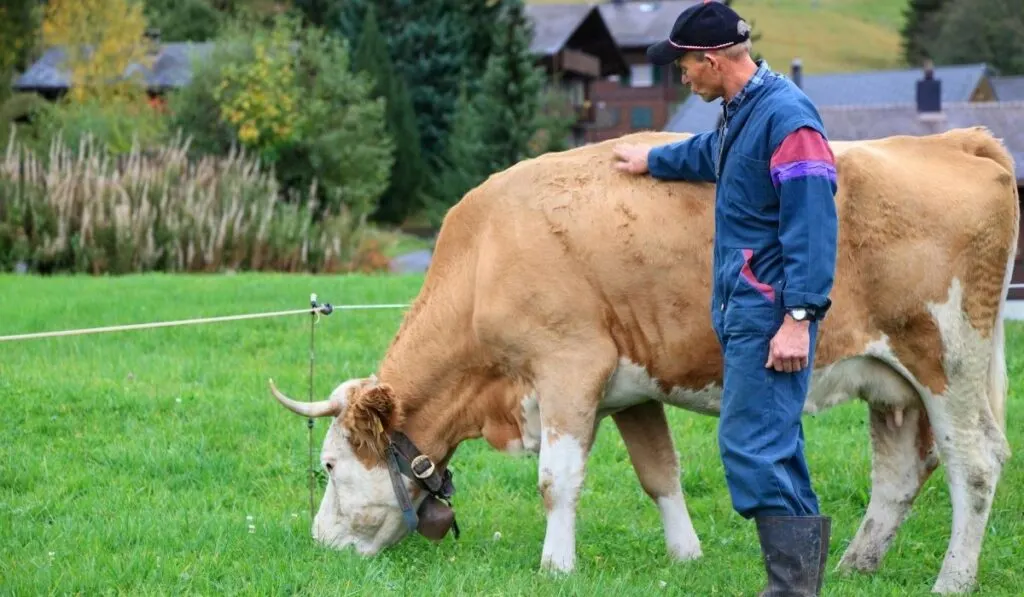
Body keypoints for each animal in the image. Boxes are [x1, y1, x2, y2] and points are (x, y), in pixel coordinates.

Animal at [270, 125, 1015, 593]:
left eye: (328, 464)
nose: (319, 542)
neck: (486, 256)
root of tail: (954, 141)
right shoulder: (630, 390)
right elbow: (660, 474)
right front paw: (686, 556)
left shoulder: (568, 367)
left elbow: (557, 480)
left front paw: (556, 567)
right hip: (893, 385)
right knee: (900, 473)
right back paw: (854, 564)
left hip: (948, 361)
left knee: (975, 464)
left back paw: (952, 578)